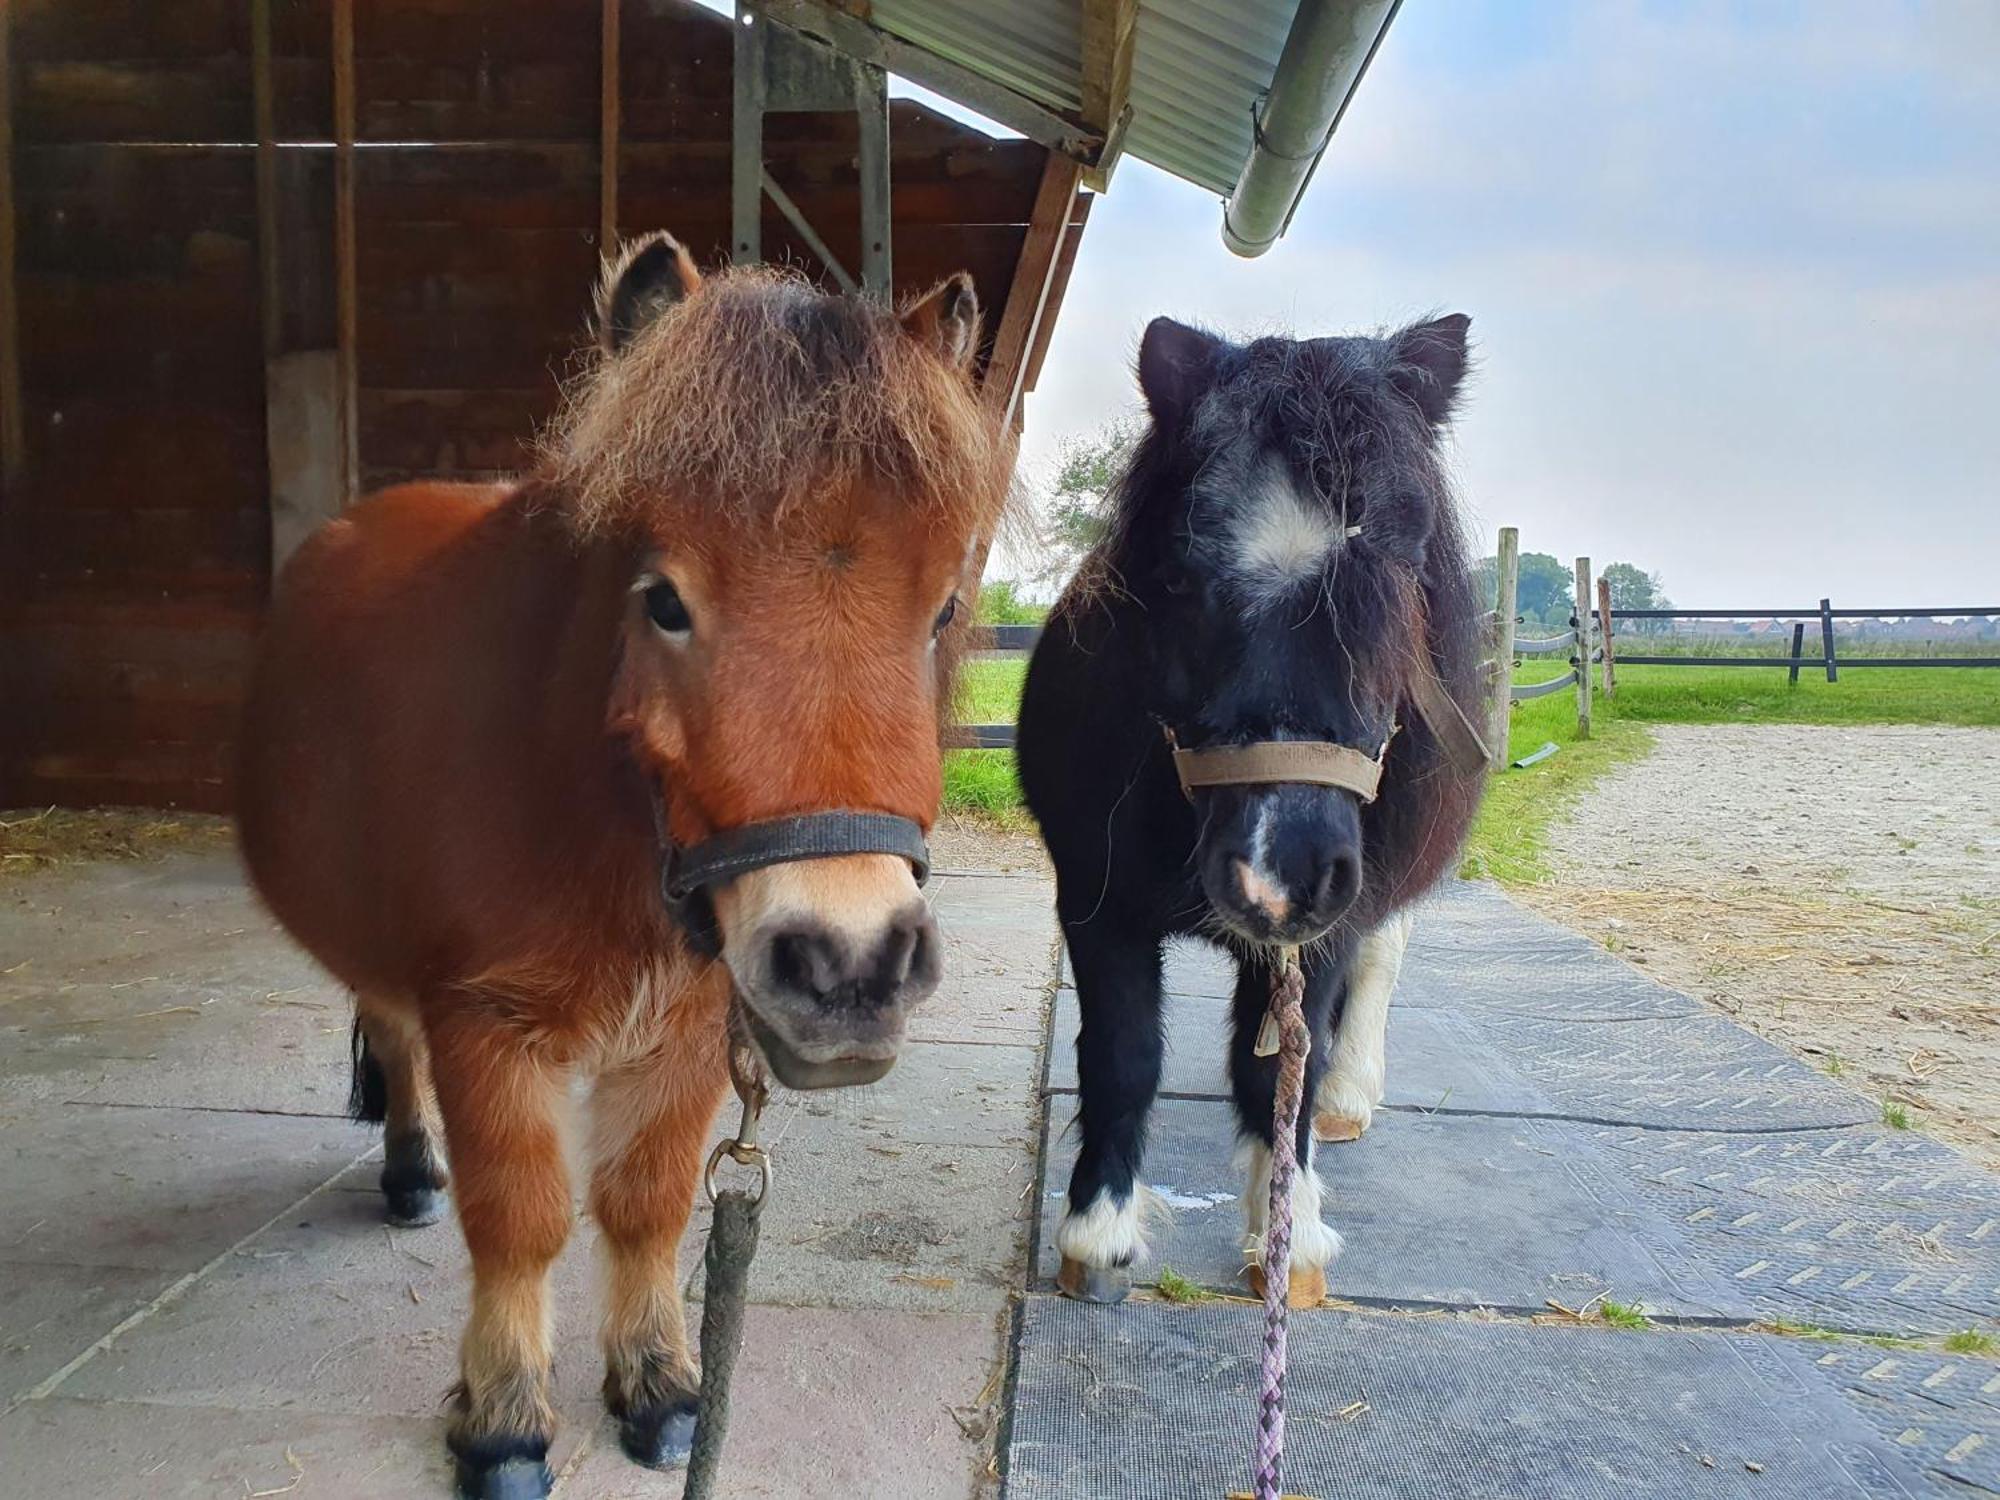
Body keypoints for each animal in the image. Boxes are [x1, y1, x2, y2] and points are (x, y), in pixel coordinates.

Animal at [236, 229, 1008, 1496]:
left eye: (941, 610)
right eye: (664, 602)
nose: (848, 965)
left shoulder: (691, 1026)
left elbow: (643, 1205)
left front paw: (662, 1388)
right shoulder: (483, 1024)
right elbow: (521, 1220)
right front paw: (504, 1419)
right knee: (390, 1035)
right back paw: (408, 1171)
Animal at [1016, 314, 1488, 1304]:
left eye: (1399, 572)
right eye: (1178, 574)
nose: (1283, 876)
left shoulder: (1328, 929)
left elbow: (1276, 1079)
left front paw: (1289, 1235)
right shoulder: (1095, 901)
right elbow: (1122, 1055)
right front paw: (1097, 1231)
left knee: (1379, 967)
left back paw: (1347, 1096)